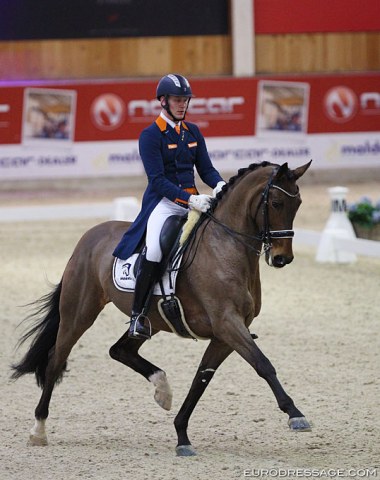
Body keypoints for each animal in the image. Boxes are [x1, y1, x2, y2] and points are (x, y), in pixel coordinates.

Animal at [11, 159, 312, 456]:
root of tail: (89, 237)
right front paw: (295, 415)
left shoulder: (226, 334)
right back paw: (38, 430)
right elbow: (263, 364)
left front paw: (182, 436)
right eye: (276, 203)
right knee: (56, 361)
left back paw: (162, 390)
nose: (282, 258)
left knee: (120, 350)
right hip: (78, 314)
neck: (225, 247)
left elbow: (201, 380)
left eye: (298, 203)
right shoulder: (228, 323)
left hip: (151, 321)